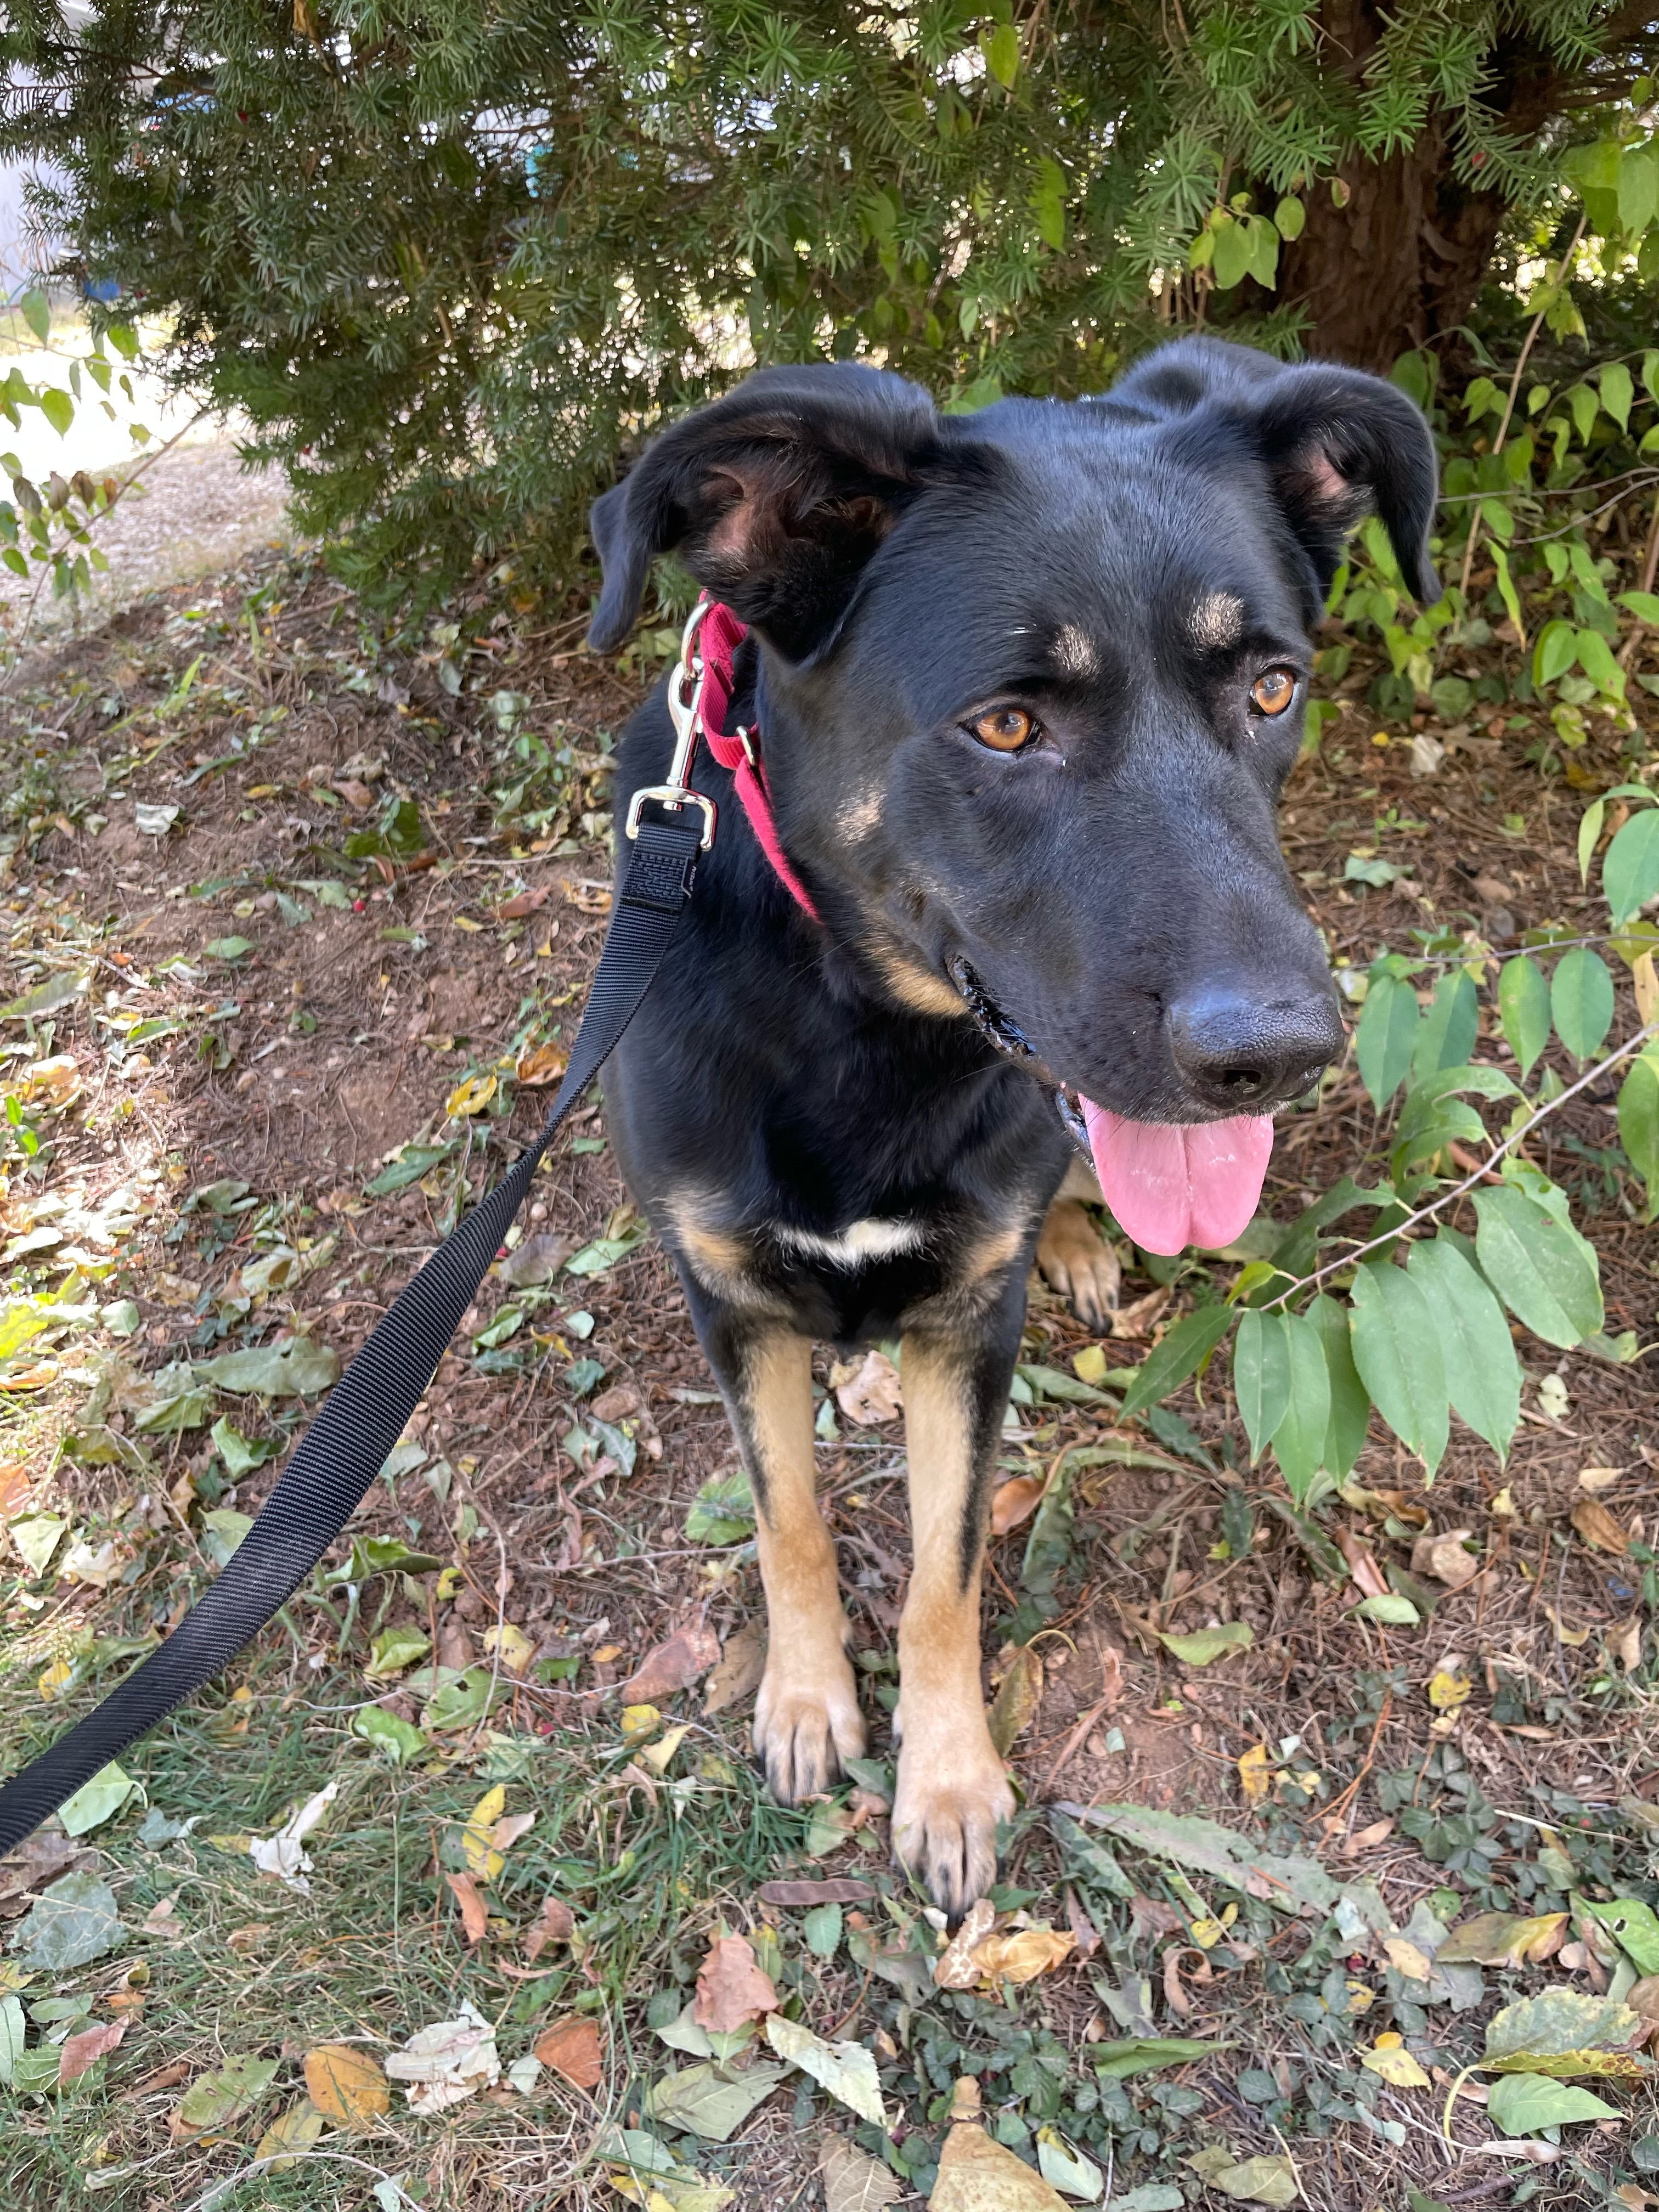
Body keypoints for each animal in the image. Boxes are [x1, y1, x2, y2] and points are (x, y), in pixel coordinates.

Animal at [588, 331, 1442, 1920]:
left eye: (1273, 690)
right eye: (1005, 724)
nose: (1282, 1053)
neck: (865, 1024)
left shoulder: (968, 1325)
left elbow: (945, 1572)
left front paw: (947, 1781)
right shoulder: (731, 1300)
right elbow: (791, 1520)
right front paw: (808, 1700)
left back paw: (1091, 1244)